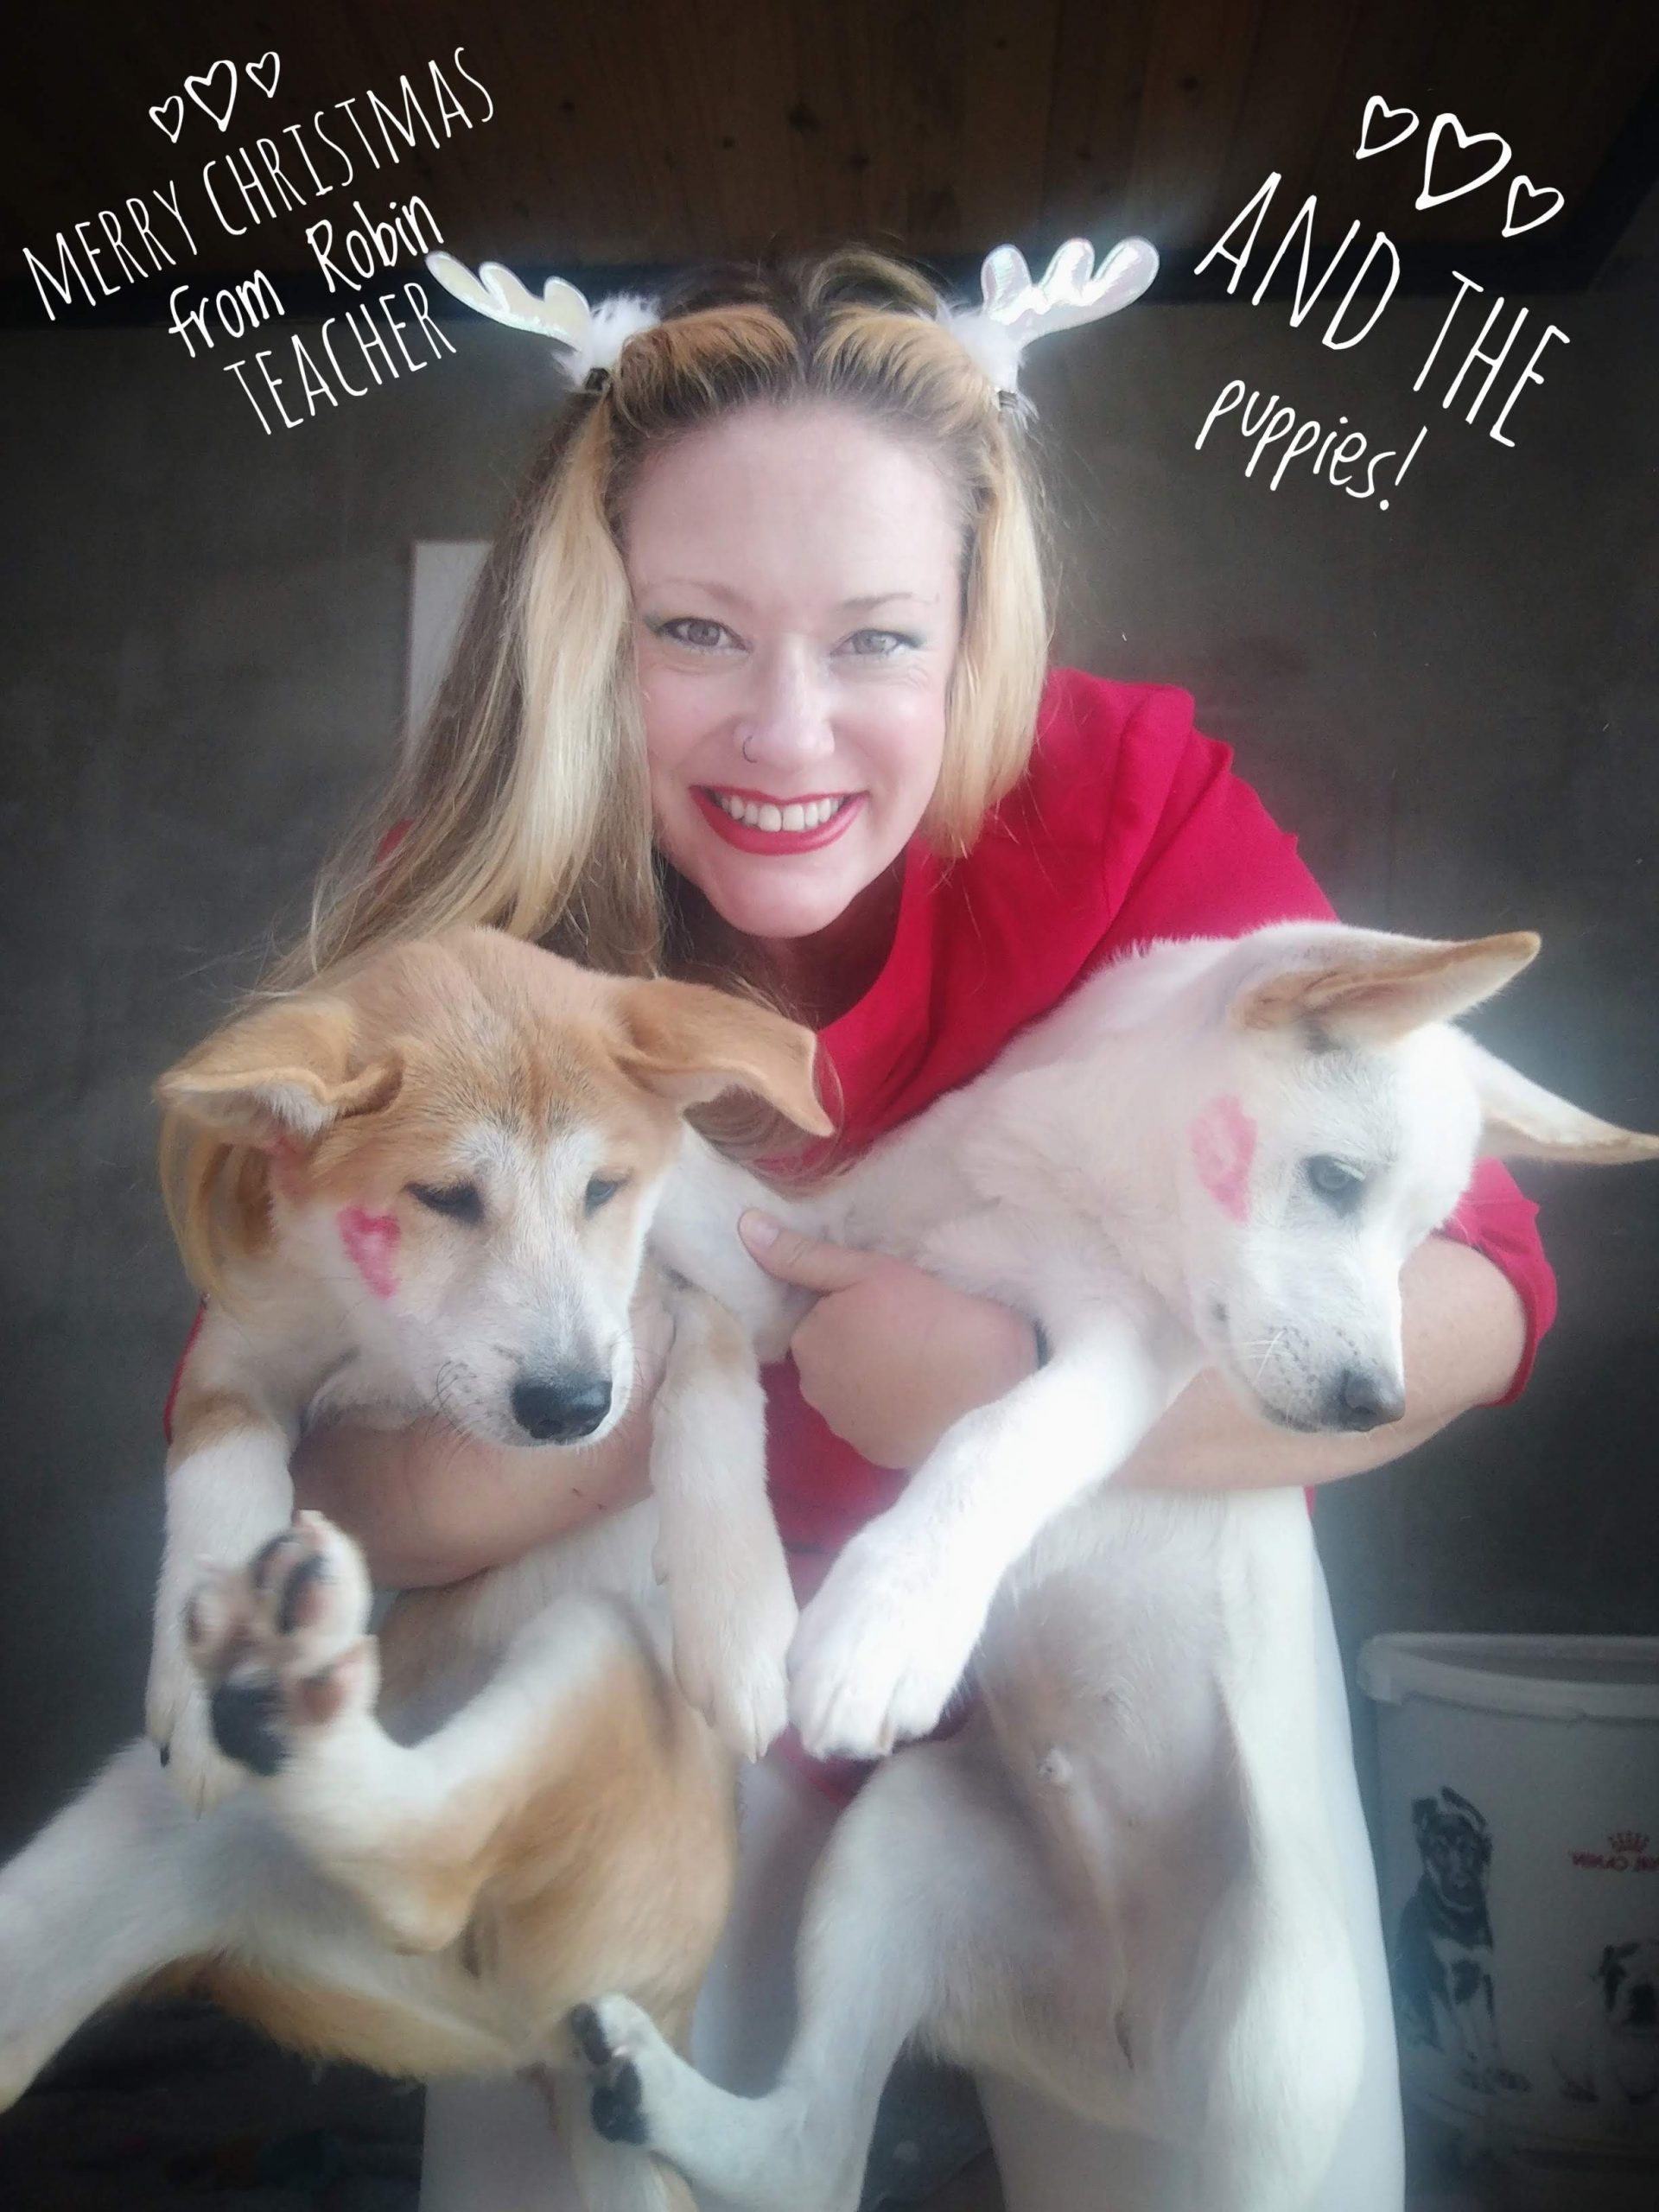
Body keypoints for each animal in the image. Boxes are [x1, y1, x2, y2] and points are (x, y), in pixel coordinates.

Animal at [0, 926, 829, 2212]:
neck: (389, 1343)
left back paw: (293, 1686)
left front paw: (739, 1617)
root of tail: (542, 2044)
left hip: (597, 1650)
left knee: (438, 1853)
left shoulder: (741, 1290)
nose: (569, 1408)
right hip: (81, 1890)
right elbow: (221, 1461)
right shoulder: (239, 1349)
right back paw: (266, 1684)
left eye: (602, 1190)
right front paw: (198, 1641)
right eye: (442, 1197)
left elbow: (712, 1355)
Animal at [1391, 1785, 1527, 2091]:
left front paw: (1501, 2073)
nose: (1461, 1886)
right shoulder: (1447, 1982)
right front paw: (1481, 2077)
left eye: (1471, 1851)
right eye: (1438, 1852)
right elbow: (1468, 2037)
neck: (1461, 1921)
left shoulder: (1483, 1976)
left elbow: (1489, 2033)